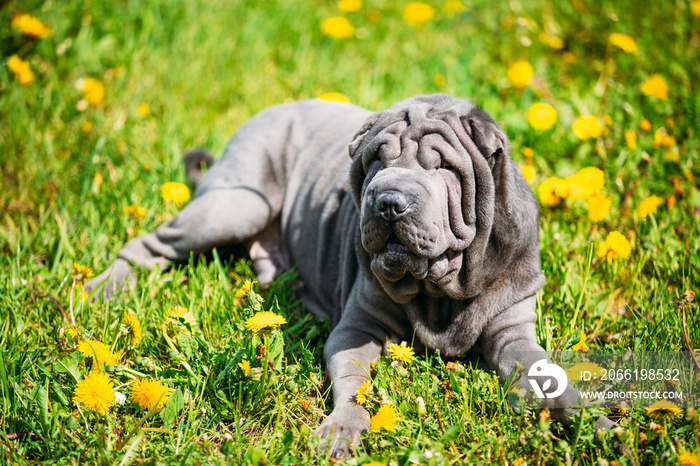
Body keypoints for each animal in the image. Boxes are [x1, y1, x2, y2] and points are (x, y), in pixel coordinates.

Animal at [85, 93, 612, 456]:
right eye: (377, 160)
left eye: (442, 167)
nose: (389, 202)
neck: (440, 287)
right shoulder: (358, 326)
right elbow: (353, 381)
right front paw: (343, 428)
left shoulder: (512, 332)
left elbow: (552, 382)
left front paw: (601, 428)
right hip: (237, 203)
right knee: (149, 244)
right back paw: (101, 289)